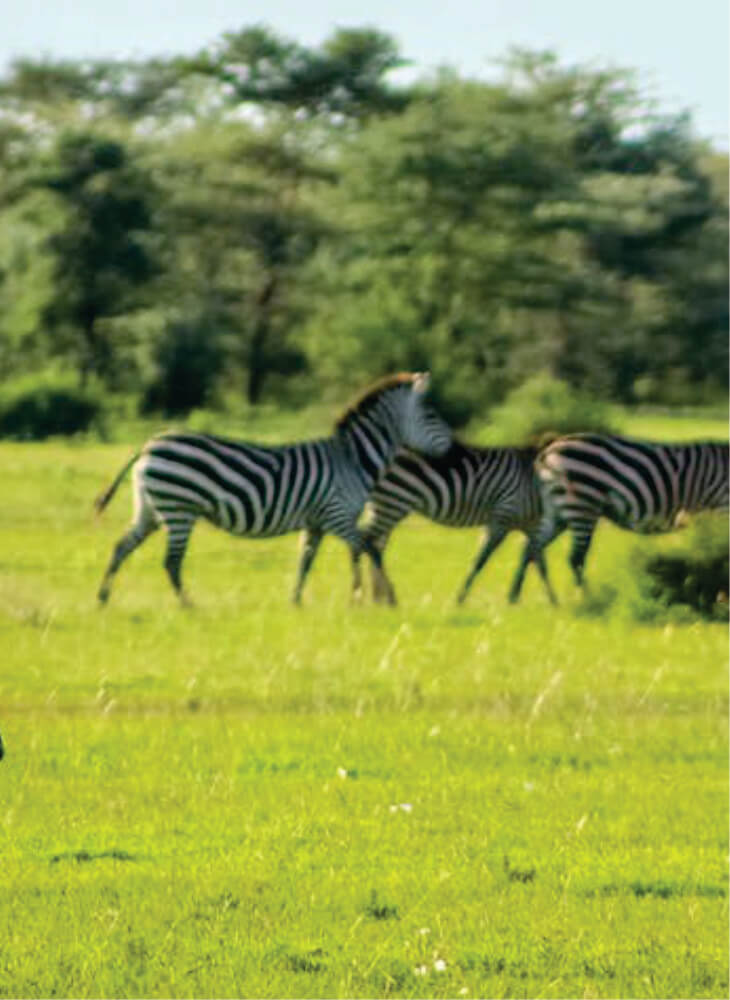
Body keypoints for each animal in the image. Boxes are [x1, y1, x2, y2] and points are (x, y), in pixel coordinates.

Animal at [95, 374, 450, 604]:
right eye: (431, 414)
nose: (452, 449)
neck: (352, 459)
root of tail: (148, 445)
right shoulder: (337, 515)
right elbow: (368, 548)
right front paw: (383, 597)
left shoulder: (317, 521)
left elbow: (307, 560)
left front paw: (297, 601)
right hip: (179, 508)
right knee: (171, 561)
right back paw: (188, 606)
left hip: (151, 508)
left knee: (121, 546)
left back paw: (102, 598)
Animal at [356, 442, 556, 604]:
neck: (534, 485)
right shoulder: (502, 518)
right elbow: (480, 561)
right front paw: (460, 599)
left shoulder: (530, 525)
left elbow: (539, 562)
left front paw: (550, 601)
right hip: (394, 500)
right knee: (366, 541)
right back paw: (373, 597)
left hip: (387, 503)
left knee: (374, 545)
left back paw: (378, 598)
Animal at [516, 432, 724, 592]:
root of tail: (548, 451)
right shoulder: (721, 505)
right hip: (583, 503)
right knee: (575, 558)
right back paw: (587, 597)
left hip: (557, 512)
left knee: (531, 547)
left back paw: (516, 597)